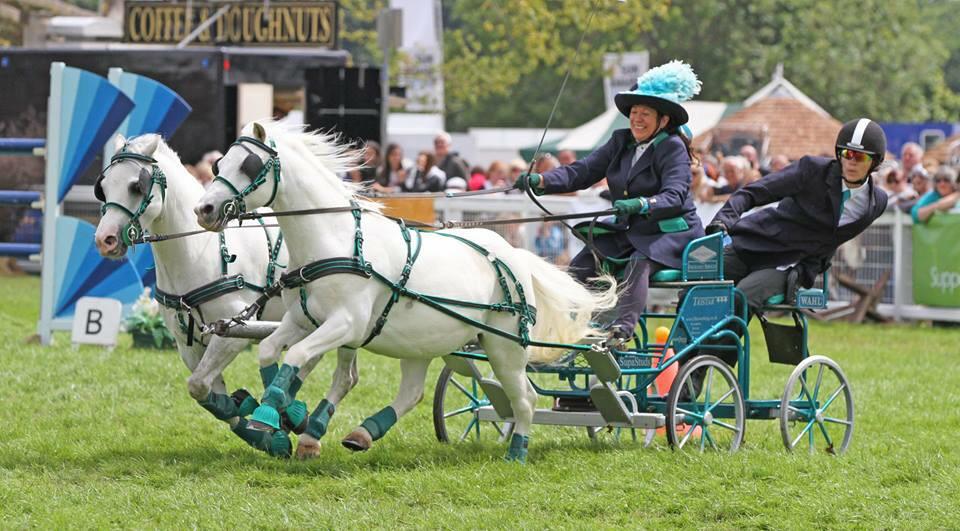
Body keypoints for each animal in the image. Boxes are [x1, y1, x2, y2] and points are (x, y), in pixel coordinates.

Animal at [93, 134, 360, 458]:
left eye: (136, 185)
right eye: (103, 186)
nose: (104, 240)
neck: (198, 253)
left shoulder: (233, 332)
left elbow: (198, 385)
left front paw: (270, 427)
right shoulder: (188, 345)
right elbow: (206, 391)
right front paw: (256, 421)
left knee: (345, 378)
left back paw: (311, 434)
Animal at [193, 121, 617, 463]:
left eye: (248, 165)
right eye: (219, 164)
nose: (204, 209)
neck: (337, 241)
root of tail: (514, 254)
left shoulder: (346, 324)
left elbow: (295, 355)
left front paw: (271, 418)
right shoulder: (301, 320)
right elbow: (270, 351)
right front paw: (285, 414)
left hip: (505, 346)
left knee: (525, 398)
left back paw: (517, 452)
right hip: (422, 343)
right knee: (413, 392)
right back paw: (362, 433)